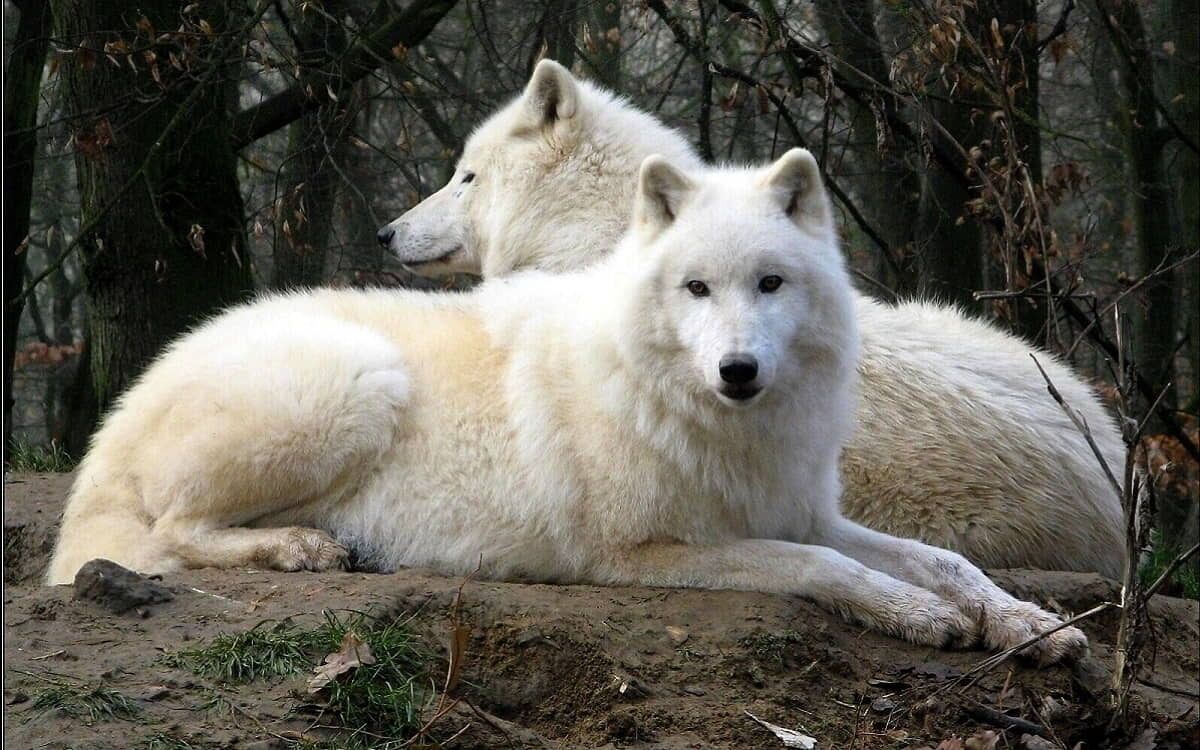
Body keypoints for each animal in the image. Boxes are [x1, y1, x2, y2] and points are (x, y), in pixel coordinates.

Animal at [47, 150, 1084, 663]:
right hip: (360, 381)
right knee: (170, 533)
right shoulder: (649, 554)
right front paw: (921, 617)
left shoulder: (803, 508)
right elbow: (823, 570)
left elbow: (945, 558)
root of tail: (131, 395)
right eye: (696, 289)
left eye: (771, 284)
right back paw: (303, 549)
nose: (737, 370)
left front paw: (1031, 625)